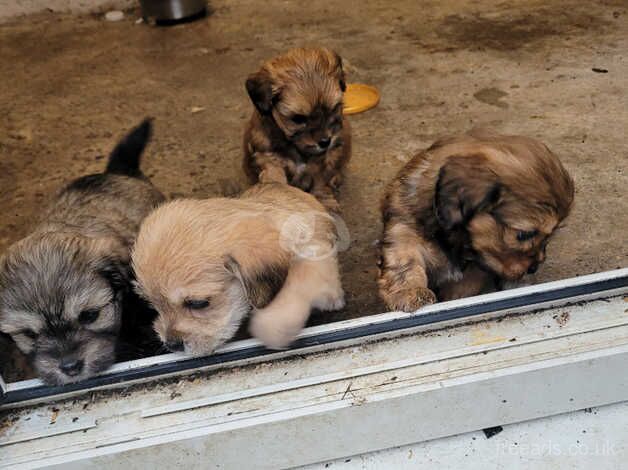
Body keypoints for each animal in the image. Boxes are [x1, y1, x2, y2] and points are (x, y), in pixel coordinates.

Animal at [132, 182, 346, 354]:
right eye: (152, 304)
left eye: (198, 303)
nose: (171, 345)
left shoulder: (315, 254)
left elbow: (299, 280)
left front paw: (275, 325)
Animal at [242, 46, 350, 212]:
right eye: (298, 119)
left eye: (333, 109)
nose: (325, 141)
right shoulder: (269, 159)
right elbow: (275, 181)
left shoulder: (323, 161)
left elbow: (320, 182)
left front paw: (325, 202)